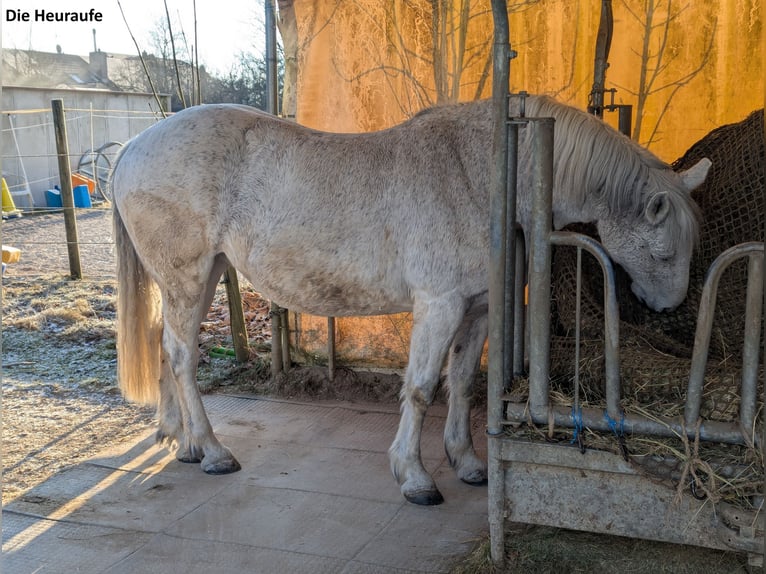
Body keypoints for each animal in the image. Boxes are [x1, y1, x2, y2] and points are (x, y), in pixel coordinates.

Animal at [111, 97, 712, 506]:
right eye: (664, 251)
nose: (668, 308)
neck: (483, 173)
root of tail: (131, 149)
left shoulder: (477, 308)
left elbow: (463, 383)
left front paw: (467, 462)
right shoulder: (440, 306)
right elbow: (422, 389)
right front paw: (415, 477)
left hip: (201, 274)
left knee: (165, 346)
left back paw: (180, 440)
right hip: (189, 276)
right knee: (183, 356)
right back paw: (213, 451)